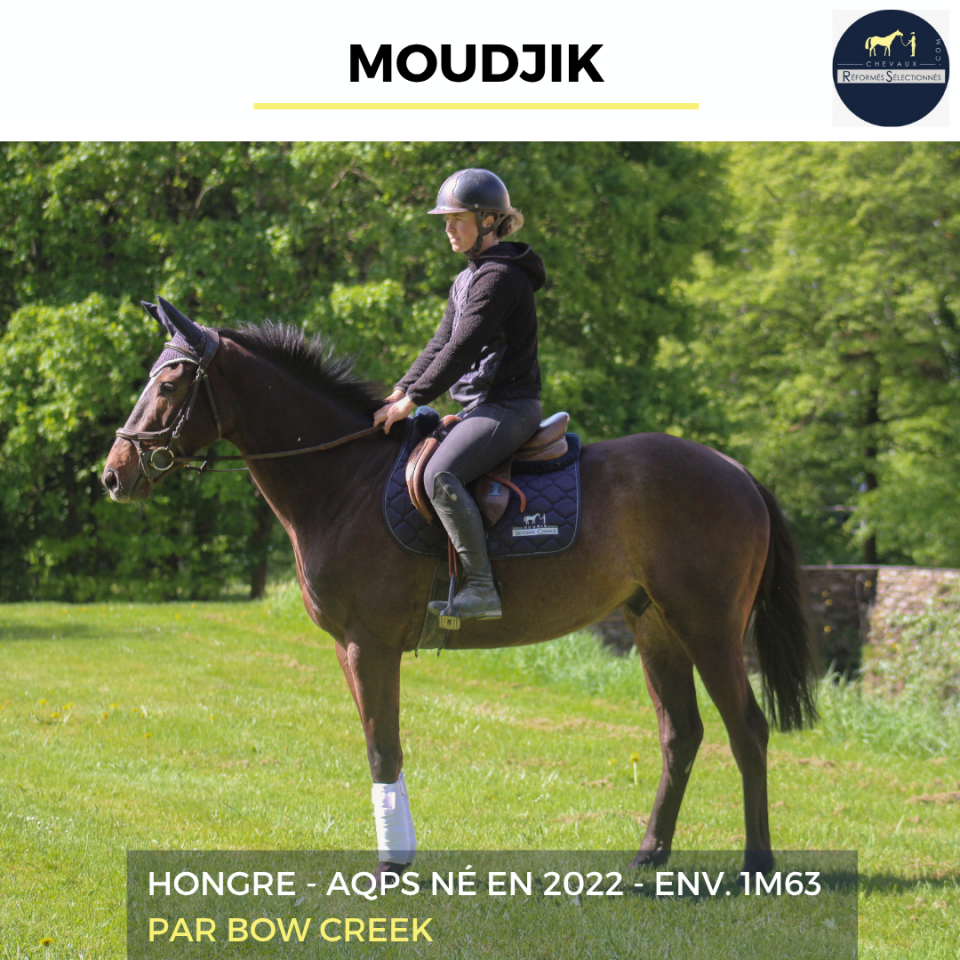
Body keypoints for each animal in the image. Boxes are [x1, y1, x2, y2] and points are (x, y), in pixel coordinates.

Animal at [102, 299, 818, 876]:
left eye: (170, 382)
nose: (114, 474)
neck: (345, 479)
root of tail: (735, 471)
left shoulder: (369, 645)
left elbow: (382, 750)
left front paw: (392, 863)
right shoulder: (351, 648)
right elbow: (380, 748)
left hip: (708, 628)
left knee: (747, 731)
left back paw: (757, 864)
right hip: (655, 626)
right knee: (682, 735)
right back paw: (649, 855)